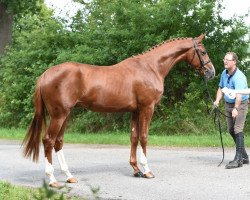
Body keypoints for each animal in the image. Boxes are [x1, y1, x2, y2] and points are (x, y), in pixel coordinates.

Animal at [23, 34, 215, 186]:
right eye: (203, 52)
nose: (211, 72)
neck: (151, 67)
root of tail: (45, 75)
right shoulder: (147, 108)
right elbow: (144, 137)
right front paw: (147, 171)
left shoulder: (135, 111)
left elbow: (134, 137)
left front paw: (136, 170)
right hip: (59, 115)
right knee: (48, 140)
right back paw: (52, 179)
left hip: (66, 115)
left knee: (58, 141)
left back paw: (69, 176)